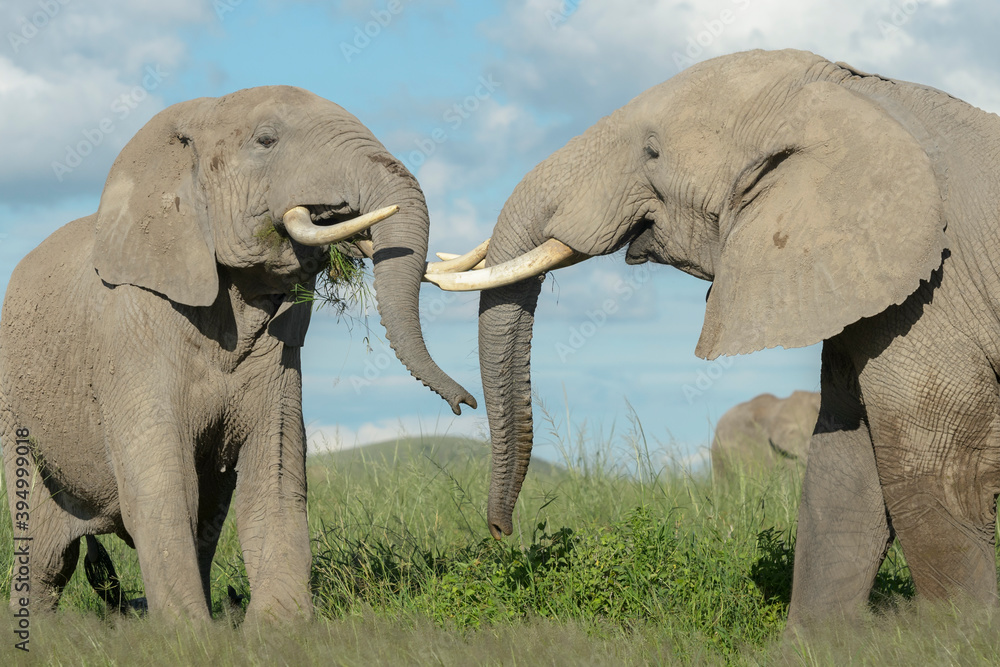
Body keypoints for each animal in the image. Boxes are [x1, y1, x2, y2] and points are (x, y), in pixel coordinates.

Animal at [0, 85, 477, 622]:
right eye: (266, 140)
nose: (465, 403)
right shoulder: (130, 333)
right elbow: (164, 485)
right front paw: (188, 633)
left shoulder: (277, 353)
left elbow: (274, 475)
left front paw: (278, 627)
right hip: (14, 404)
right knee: (46, 549)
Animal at [427, 49, 1000, 627]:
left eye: (653, 150)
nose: (501, 533)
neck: (855, 95)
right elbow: (842, 472)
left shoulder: (936, 294)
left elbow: (934, 478)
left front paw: (961, 636)